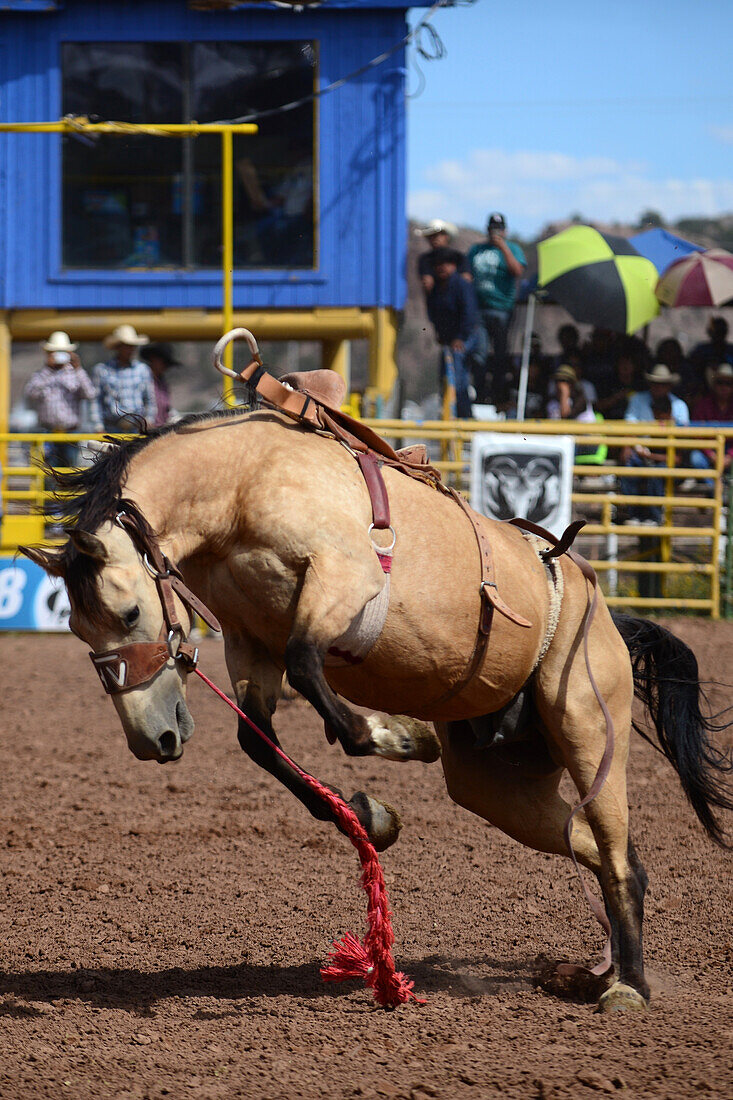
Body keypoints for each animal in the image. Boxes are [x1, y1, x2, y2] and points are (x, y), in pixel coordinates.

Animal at [21, 325, 726, 1012]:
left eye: (132, 610)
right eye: (78, 629)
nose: (153, 738)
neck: (243, 482)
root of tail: (600, 607)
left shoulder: (344, 581)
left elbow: (310, 668)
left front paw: (391, 736)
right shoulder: (251, 642)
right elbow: (259, 740)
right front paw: (371, 814)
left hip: (585, 723)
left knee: (618, 852)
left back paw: (628, 988)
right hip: (495, 784)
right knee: (596, 845)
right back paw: (600, 974)